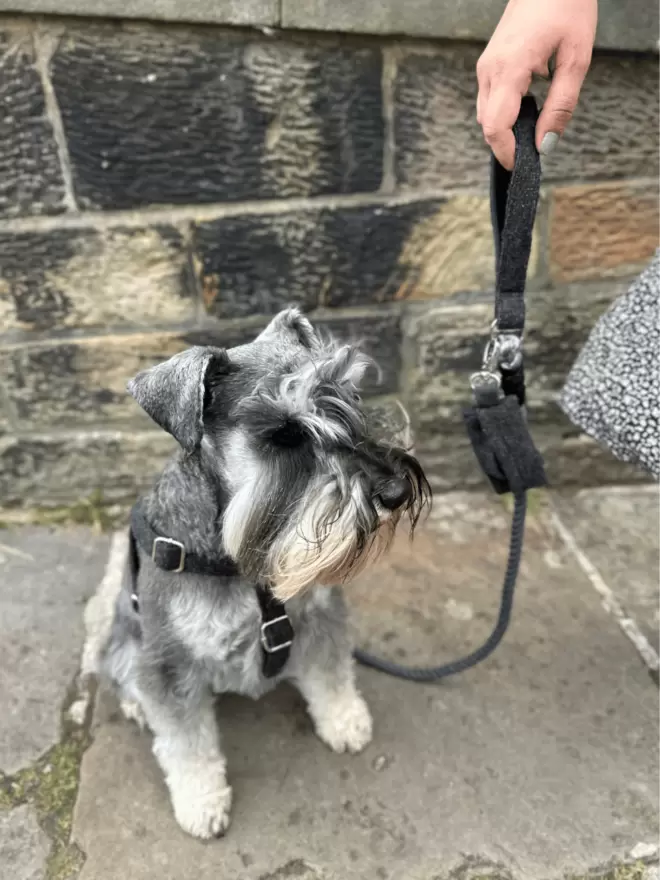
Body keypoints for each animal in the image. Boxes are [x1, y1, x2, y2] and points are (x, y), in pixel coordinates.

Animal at [98, 308, 428, 840]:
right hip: (123, 642)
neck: (240, 562)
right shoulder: (169, 662)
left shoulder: (320, 613)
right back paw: (133, 703)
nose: (396, 491)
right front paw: (201, 802)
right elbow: (186, 743)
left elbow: (331, 674)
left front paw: (344, 721)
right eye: (285, 432)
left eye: (352, 396)